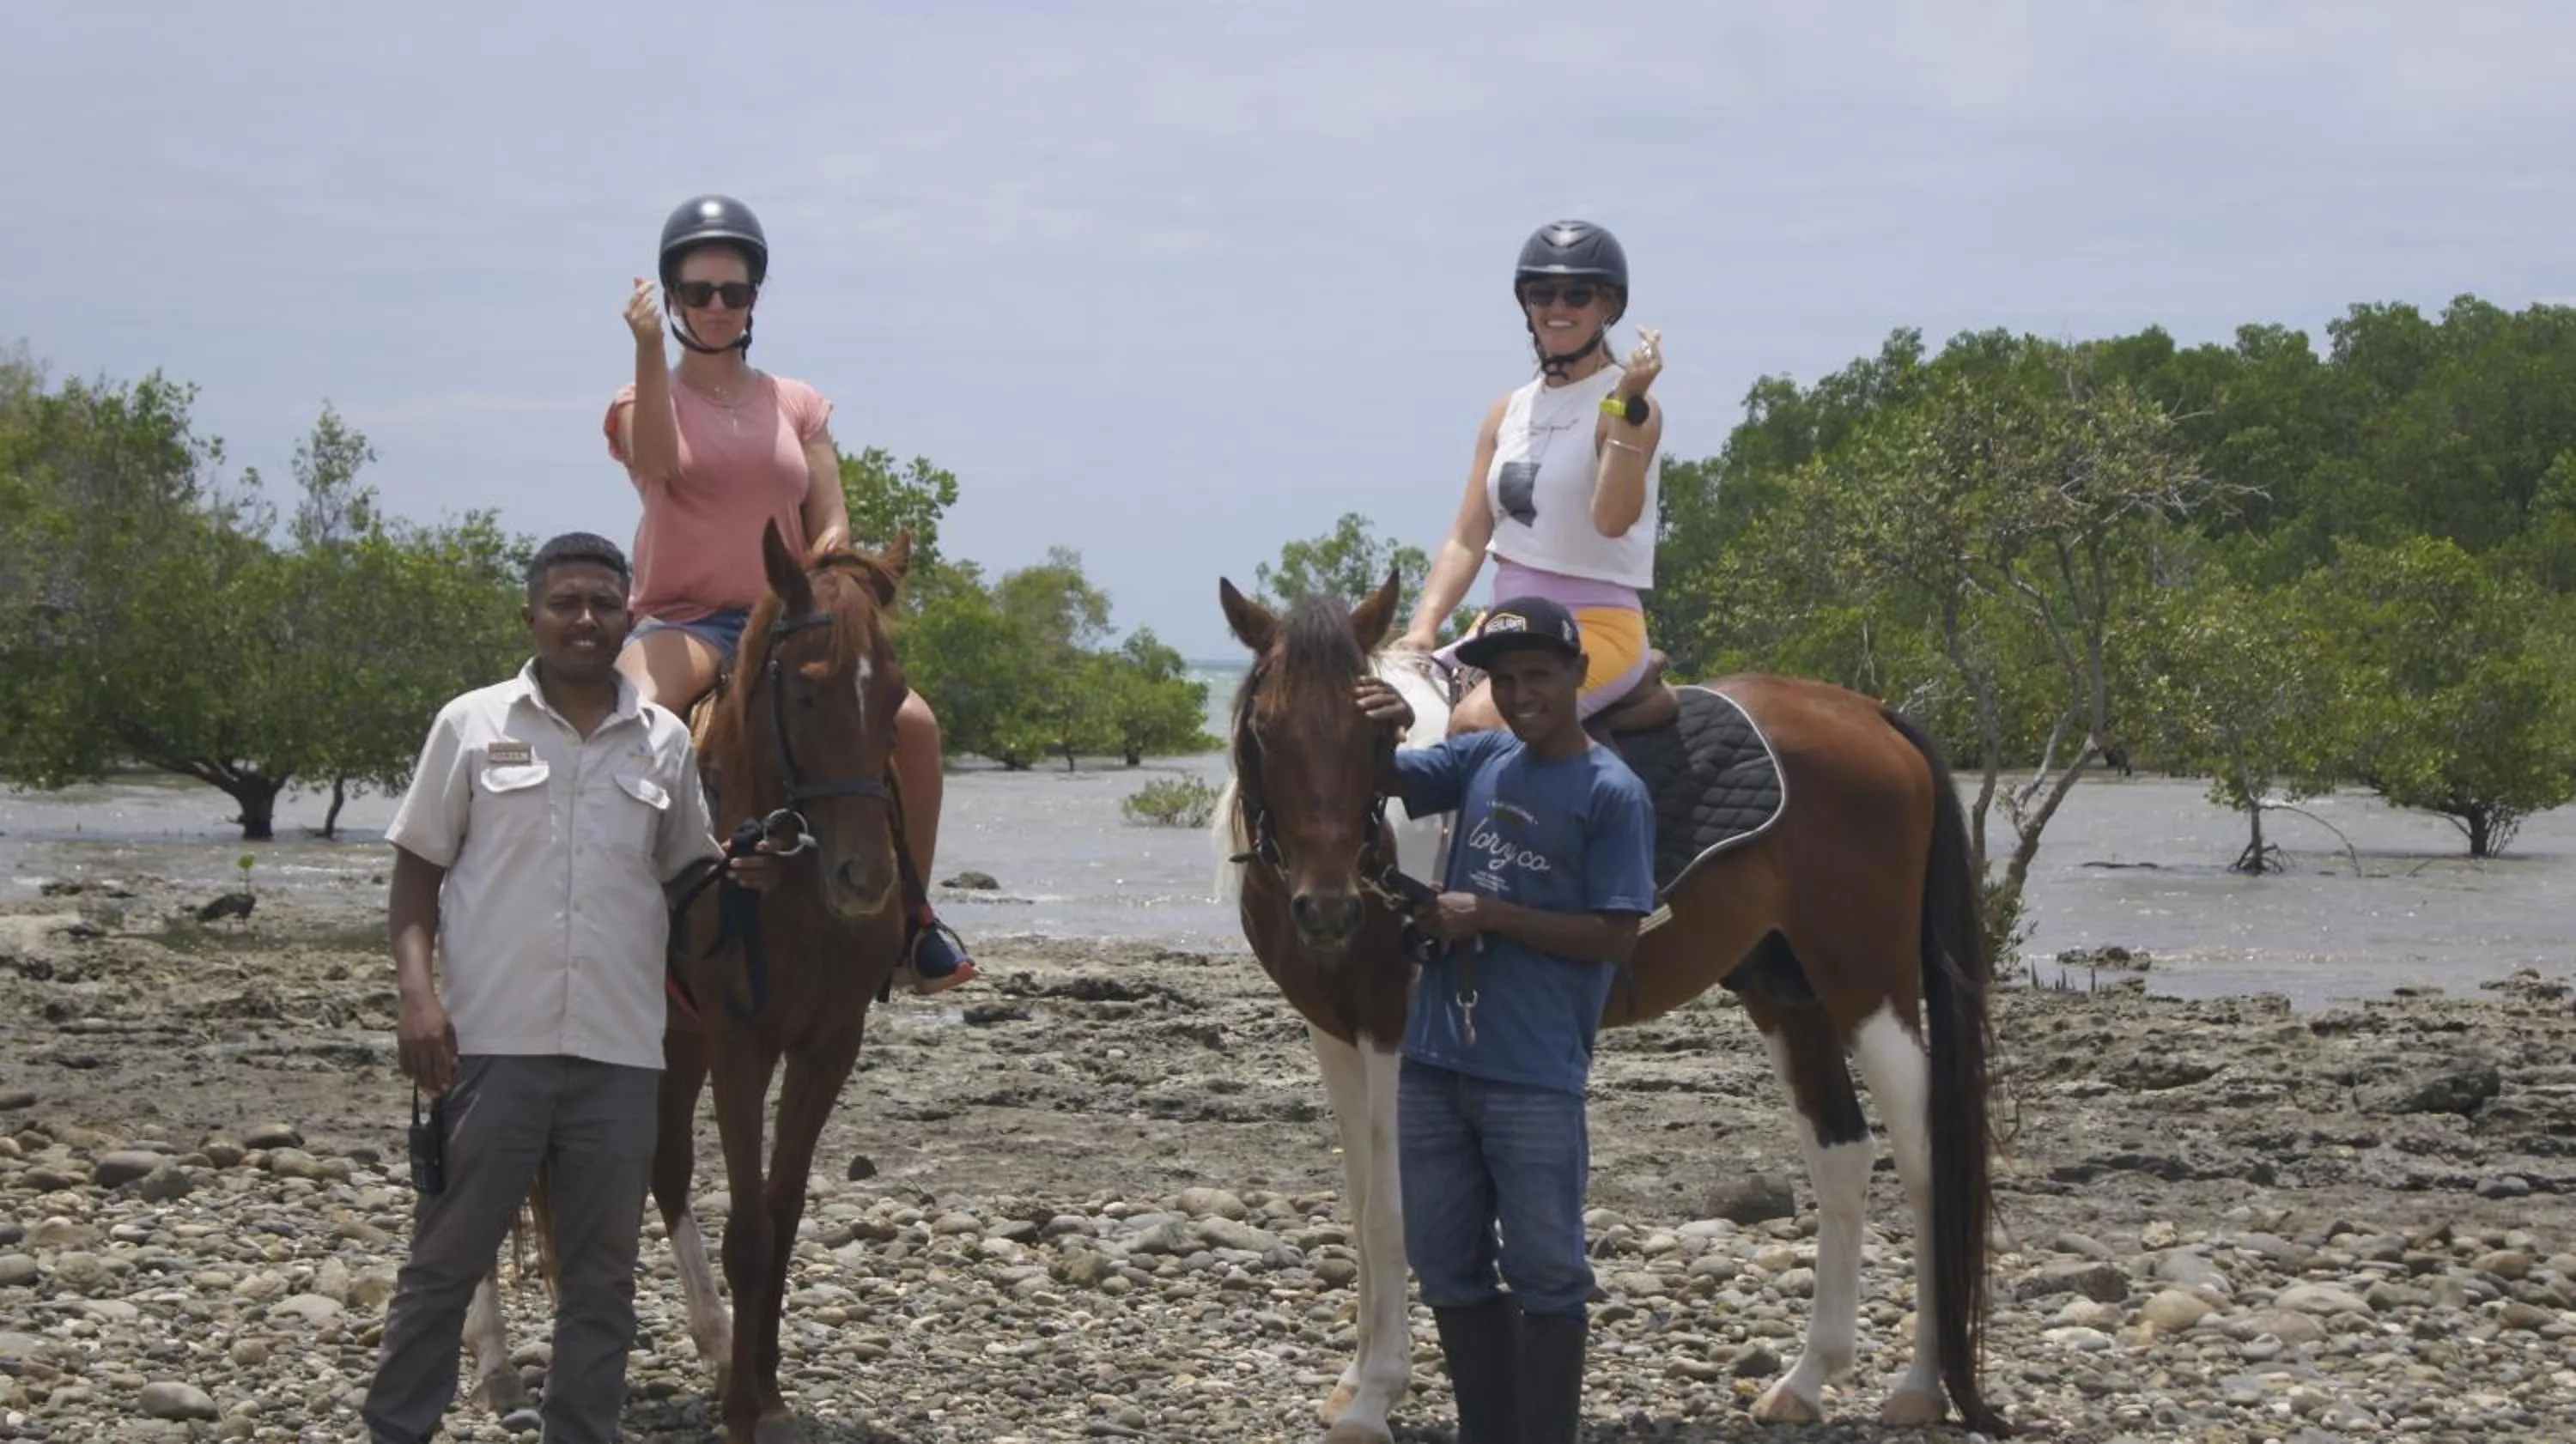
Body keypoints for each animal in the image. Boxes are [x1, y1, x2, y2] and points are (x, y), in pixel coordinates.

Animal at [1213, 571, 2008, 1438]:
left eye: (1375, 735)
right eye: (1263, 731)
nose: (1328, 911)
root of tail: (1870, 715)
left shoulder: (1392, 1030)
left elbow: (1391, 1207)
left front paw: (1377, 1395)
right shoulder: (1334, 1033)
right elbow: (1360, 1203)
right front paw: (1356, 1379)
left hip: (1866, 985)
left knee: (1926, 1154)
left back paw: (1921, 1384)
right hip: (1786, 993)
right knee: (1842, 1155)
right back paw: (1804, 1380)